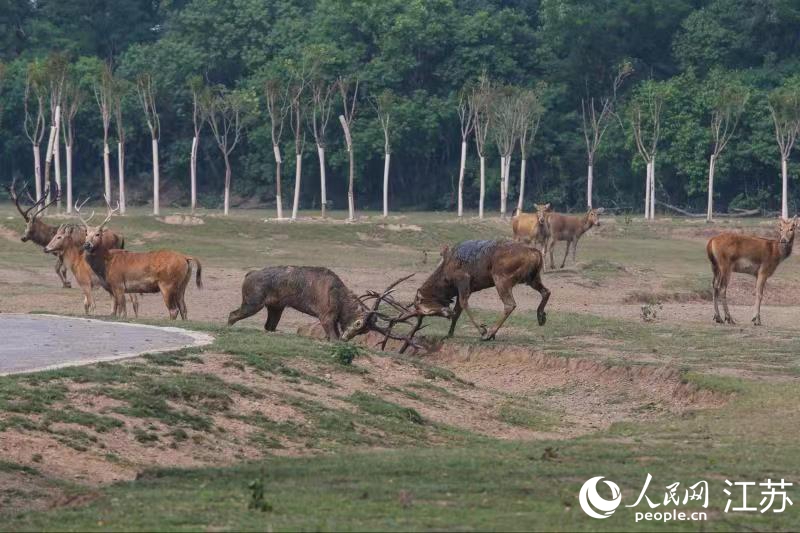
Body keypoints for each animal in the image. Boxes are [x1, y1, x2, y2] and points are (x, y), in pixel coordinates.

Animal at [228, 266, 418, 345]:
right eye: (358, 323)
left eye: (364, 332)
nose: (346, 338)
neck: (341, 300)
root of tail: (248, 274)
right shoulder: (326, 316)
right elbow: (332, 336)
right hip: (253, 302)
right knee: (232, 314)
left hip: (276, 307)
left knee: (269, 326)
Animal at [394, 239, 550, 344]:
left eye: (423, 307)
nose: (447, 314)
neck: (446, 279)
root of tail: (536, 253)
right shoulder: (461, 289)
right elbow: (457, 310)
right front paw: (449, 333)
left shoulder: (463, 280)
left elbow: (464, 304)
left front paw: (483, 330)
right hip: (532, 277)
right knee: (546, 291)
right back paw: (541, 316)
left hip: (501, 277)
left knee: (510, 304)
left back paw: (491, 333)